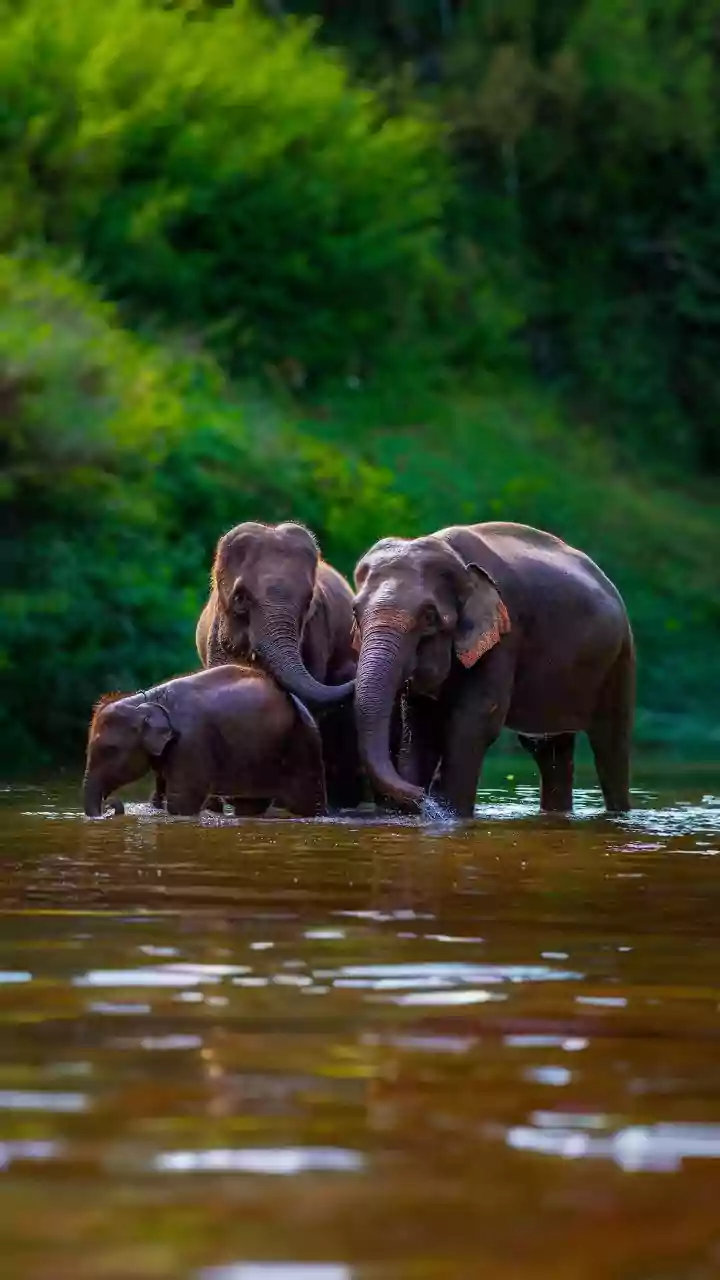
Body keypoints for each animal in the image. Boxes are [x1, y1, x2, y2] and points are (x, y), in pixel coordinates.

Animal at [83, 665, 327, 818]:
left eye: (110, 750)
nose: (110, 807)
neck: (146, 701)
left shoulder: (190, 742)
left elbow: (181, 803)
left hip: (303, 747)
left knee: (306, 802)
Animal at [352, 521, 635, 818]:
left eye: (429, 616)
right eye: (355, 612)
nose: (421, 794)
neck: (454, 556)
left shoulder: (506, 634)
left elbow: (475, 720)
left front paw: (450, 811)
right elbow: (419, 724)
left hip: (620, 658)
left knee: (610, 744)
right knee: (550, 750)